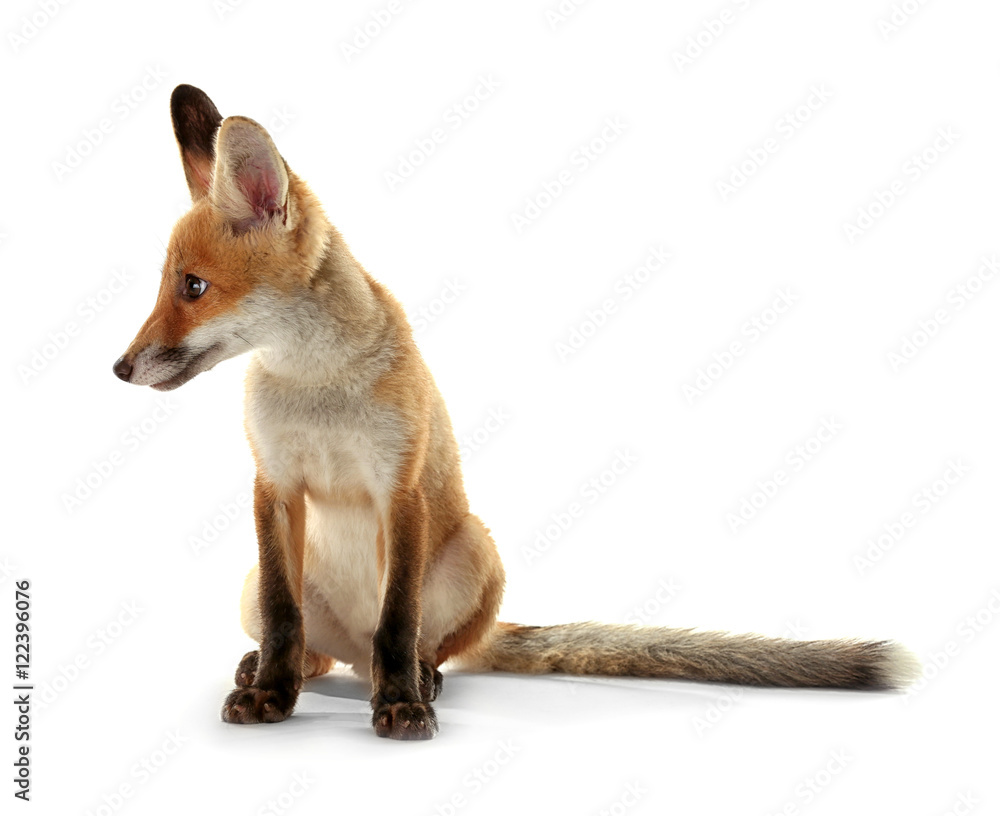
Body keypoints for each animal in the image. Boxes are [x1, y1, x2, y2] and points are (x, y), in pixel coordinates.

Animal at [113, 85, 918, 740]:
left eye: (192, 286)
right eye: (167, 285)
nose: (119, 368)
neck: (318, 389)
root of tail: (346, 653)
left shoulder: (399, 487)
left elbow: (398, 622)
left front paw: (401, 706)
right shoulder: (274, 487)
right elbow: (285, 621)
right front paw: (271, 696)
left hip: (475, 550)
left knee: (412, 646)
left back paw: (413, 681)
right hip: (254, 583)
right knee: (313, 647)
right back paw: (278, 671)